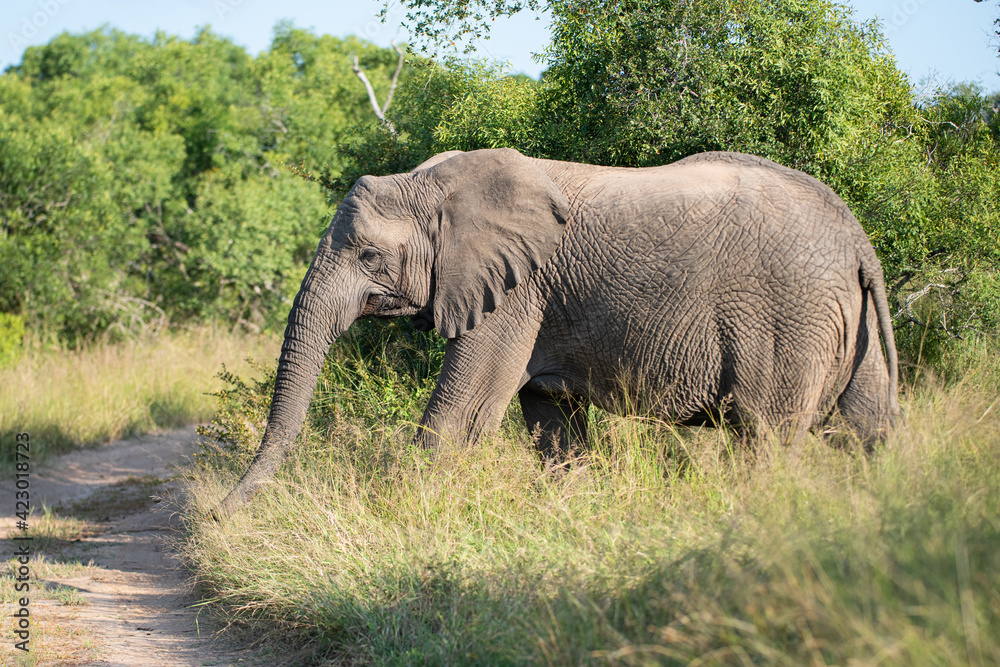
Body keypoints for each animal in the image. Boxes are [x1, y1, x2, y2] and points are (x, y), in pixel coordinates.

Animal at [214, 148, 899, 517]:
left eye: (369, 257)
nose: (217, 516)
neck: (435, 183)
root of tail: (858, 240)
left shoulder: (519, 294)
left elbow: (463, 414)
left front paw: (395, 514)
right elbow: (552, 425)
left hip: (790, 317)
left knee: (767, 437)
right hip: (844, 319)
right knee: (868, 429)